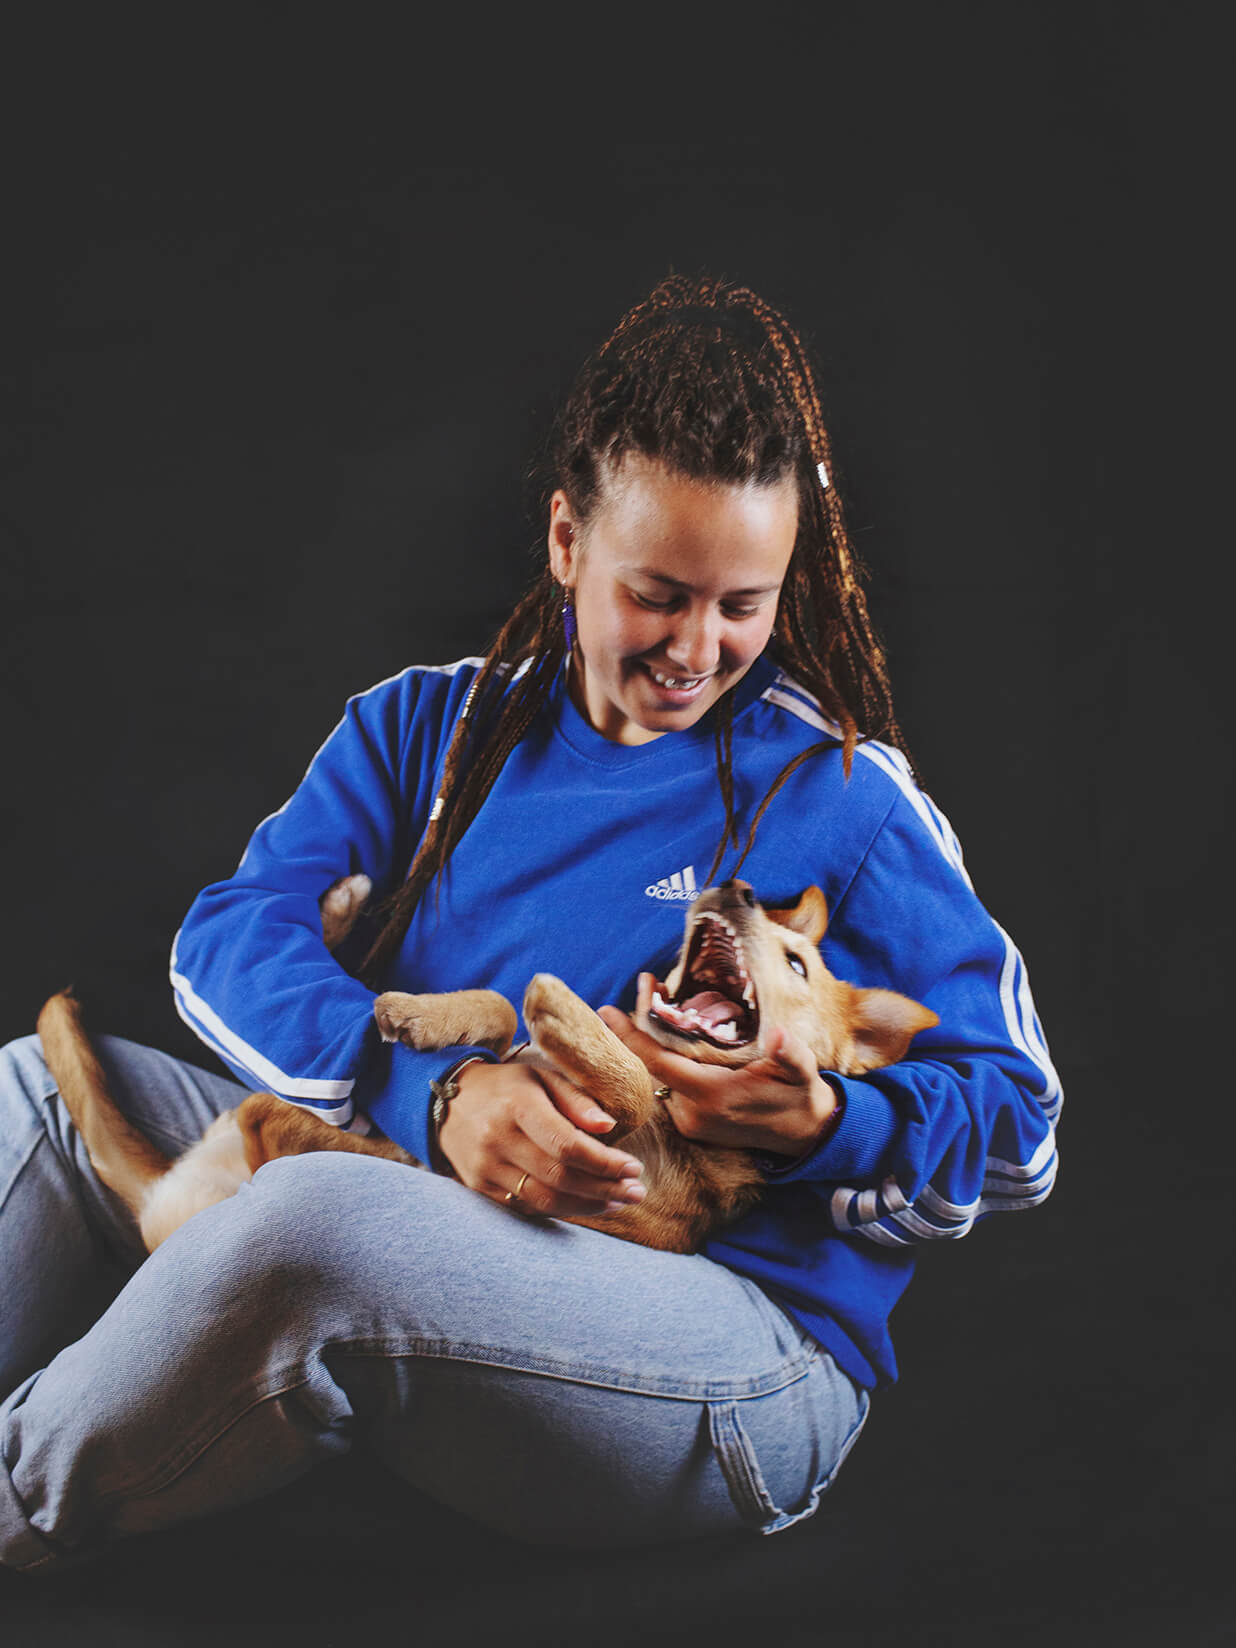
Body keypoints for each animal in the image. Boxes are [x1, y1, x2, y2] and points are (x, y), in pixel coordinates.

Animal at [33, 883, 936, 1252]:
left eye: (798, 964)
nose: (738, 888)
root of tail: (168, 1202)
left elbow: (631, 1089)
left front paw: (565, 1011)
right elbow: (501, 1014)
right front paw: (428, 1014)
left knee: (276, 1126)